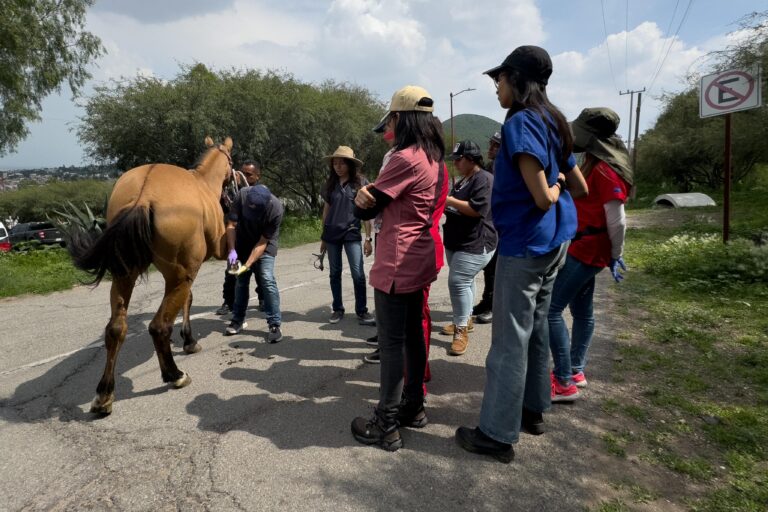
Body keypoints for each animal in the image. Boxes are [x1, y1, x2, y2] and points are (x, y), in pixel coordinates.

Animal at [68, 136, 233, 414]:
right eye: (232, 161)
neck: (203, 182)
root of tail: (144, 195)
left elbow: (188, 301)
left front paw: (188, 339)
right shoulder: (208, 257)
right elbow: (189, 300)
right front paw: (189, 340)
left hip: (125, 275)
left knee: (116, 329)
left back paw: (104, 394)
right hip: (179, 276)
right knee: (159, 326)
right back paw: (174, 374)